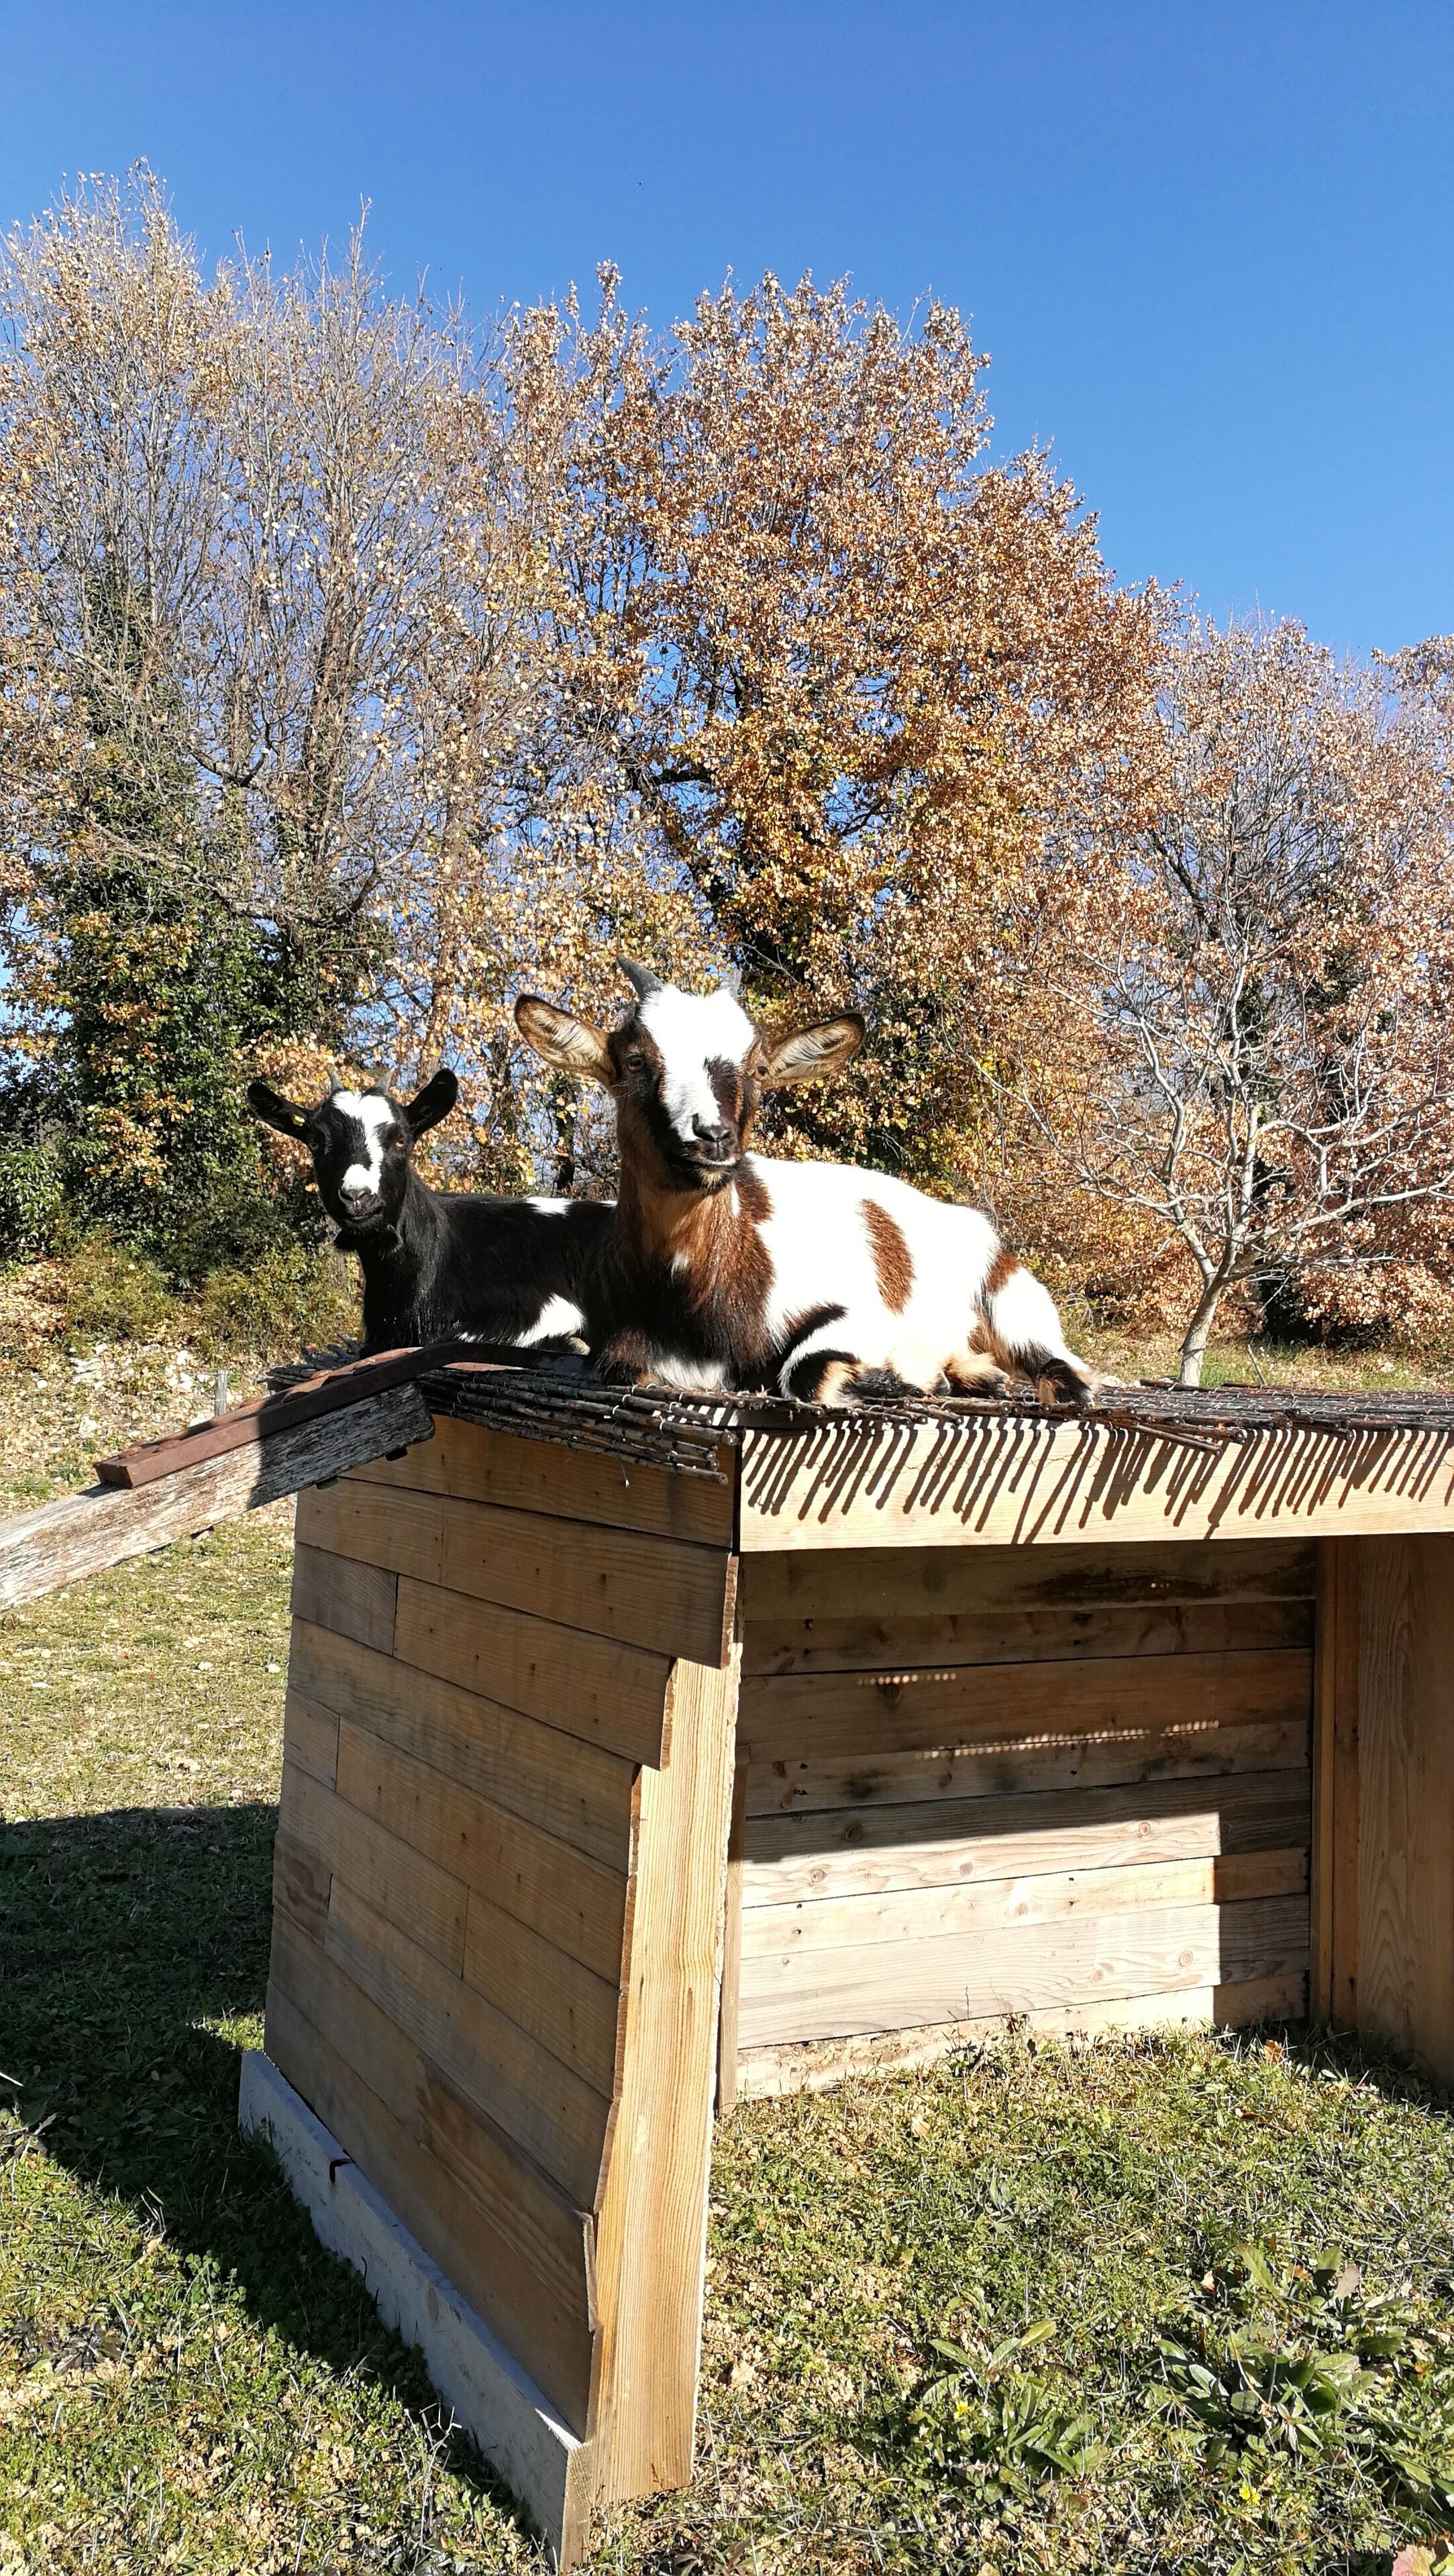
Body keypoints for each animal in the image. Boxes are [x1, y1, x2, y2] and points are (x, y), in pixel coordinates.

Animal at [513, 966, 1101, 1408]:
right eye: (635, 1061)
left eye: (758, 1069)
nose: (712, 1136)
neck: (694, 1294)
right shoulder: (616, 1352)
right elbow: (620, 1366)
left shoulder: (857, 1315)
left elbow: (804, 1371)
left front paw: (904, 1378)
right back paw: (975, 1373)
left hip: (1008, 1293)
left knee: (1061, 1368)